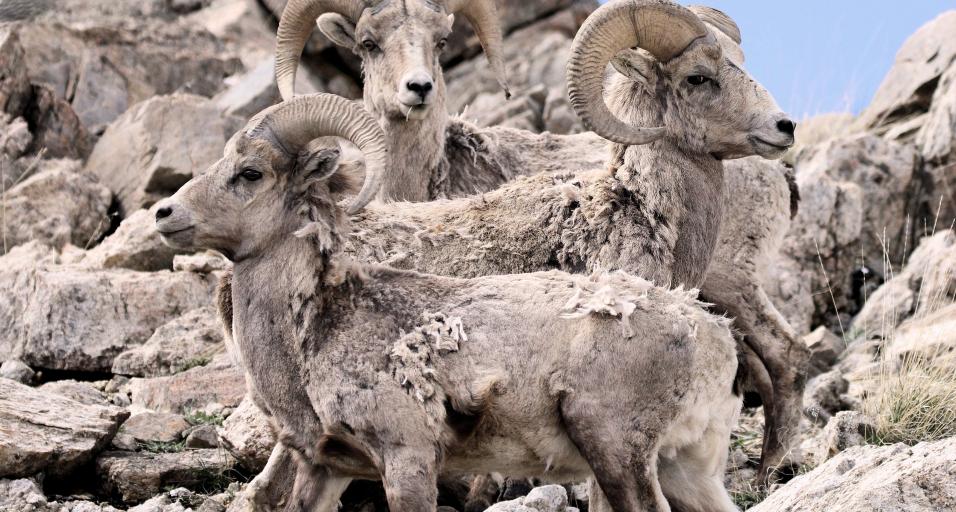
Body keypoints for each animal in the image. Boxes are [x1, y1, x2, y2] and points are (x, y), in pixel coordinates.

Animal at [154, 92, 743, 512]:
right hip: (685, 469)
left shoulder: (407, 460)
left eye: (250, 173)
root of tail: (708, 334)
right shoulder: (327, 469)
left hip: (617, 453)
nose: (164, 213)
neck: (311, 334)